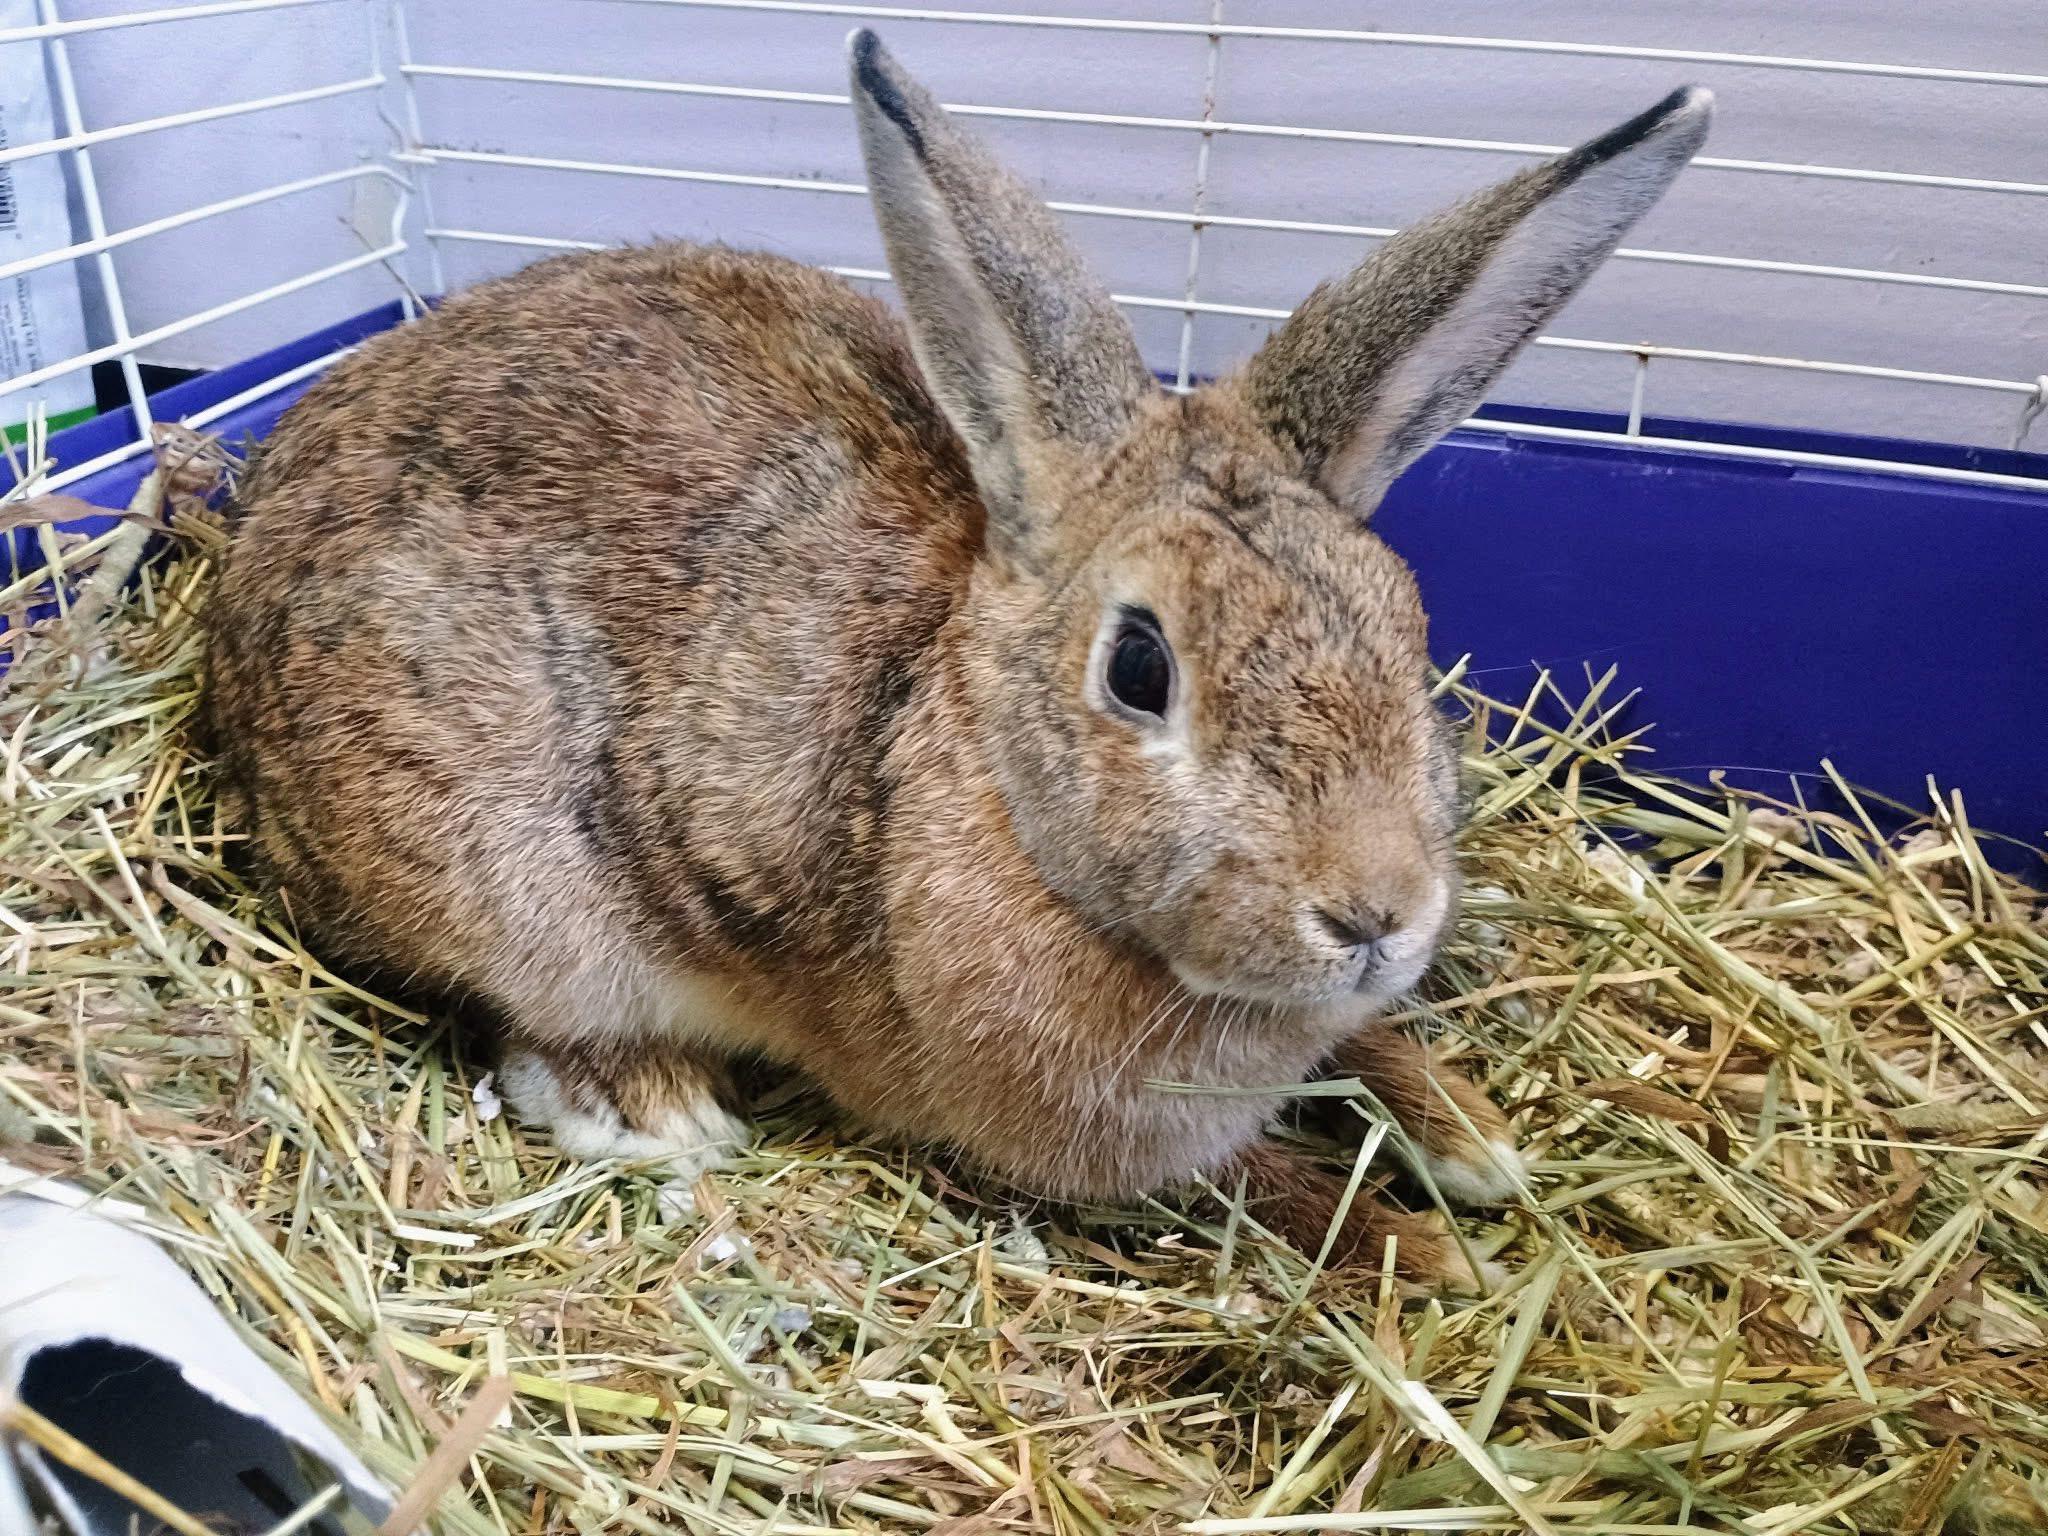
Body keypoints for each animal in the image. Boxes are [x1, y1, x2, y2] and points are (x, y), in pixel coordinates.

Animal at [203, 30, 1709, 1288]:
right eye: (1140, 670)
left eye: (1407, 627)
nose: (1374, 913)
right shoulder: (1076, 1138)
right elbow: (1252, 1188)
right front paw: (1428, 1247)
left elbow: (1368, 1045)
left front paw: (1473, 1138)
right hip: (498, 881)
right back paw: (655, 1108)